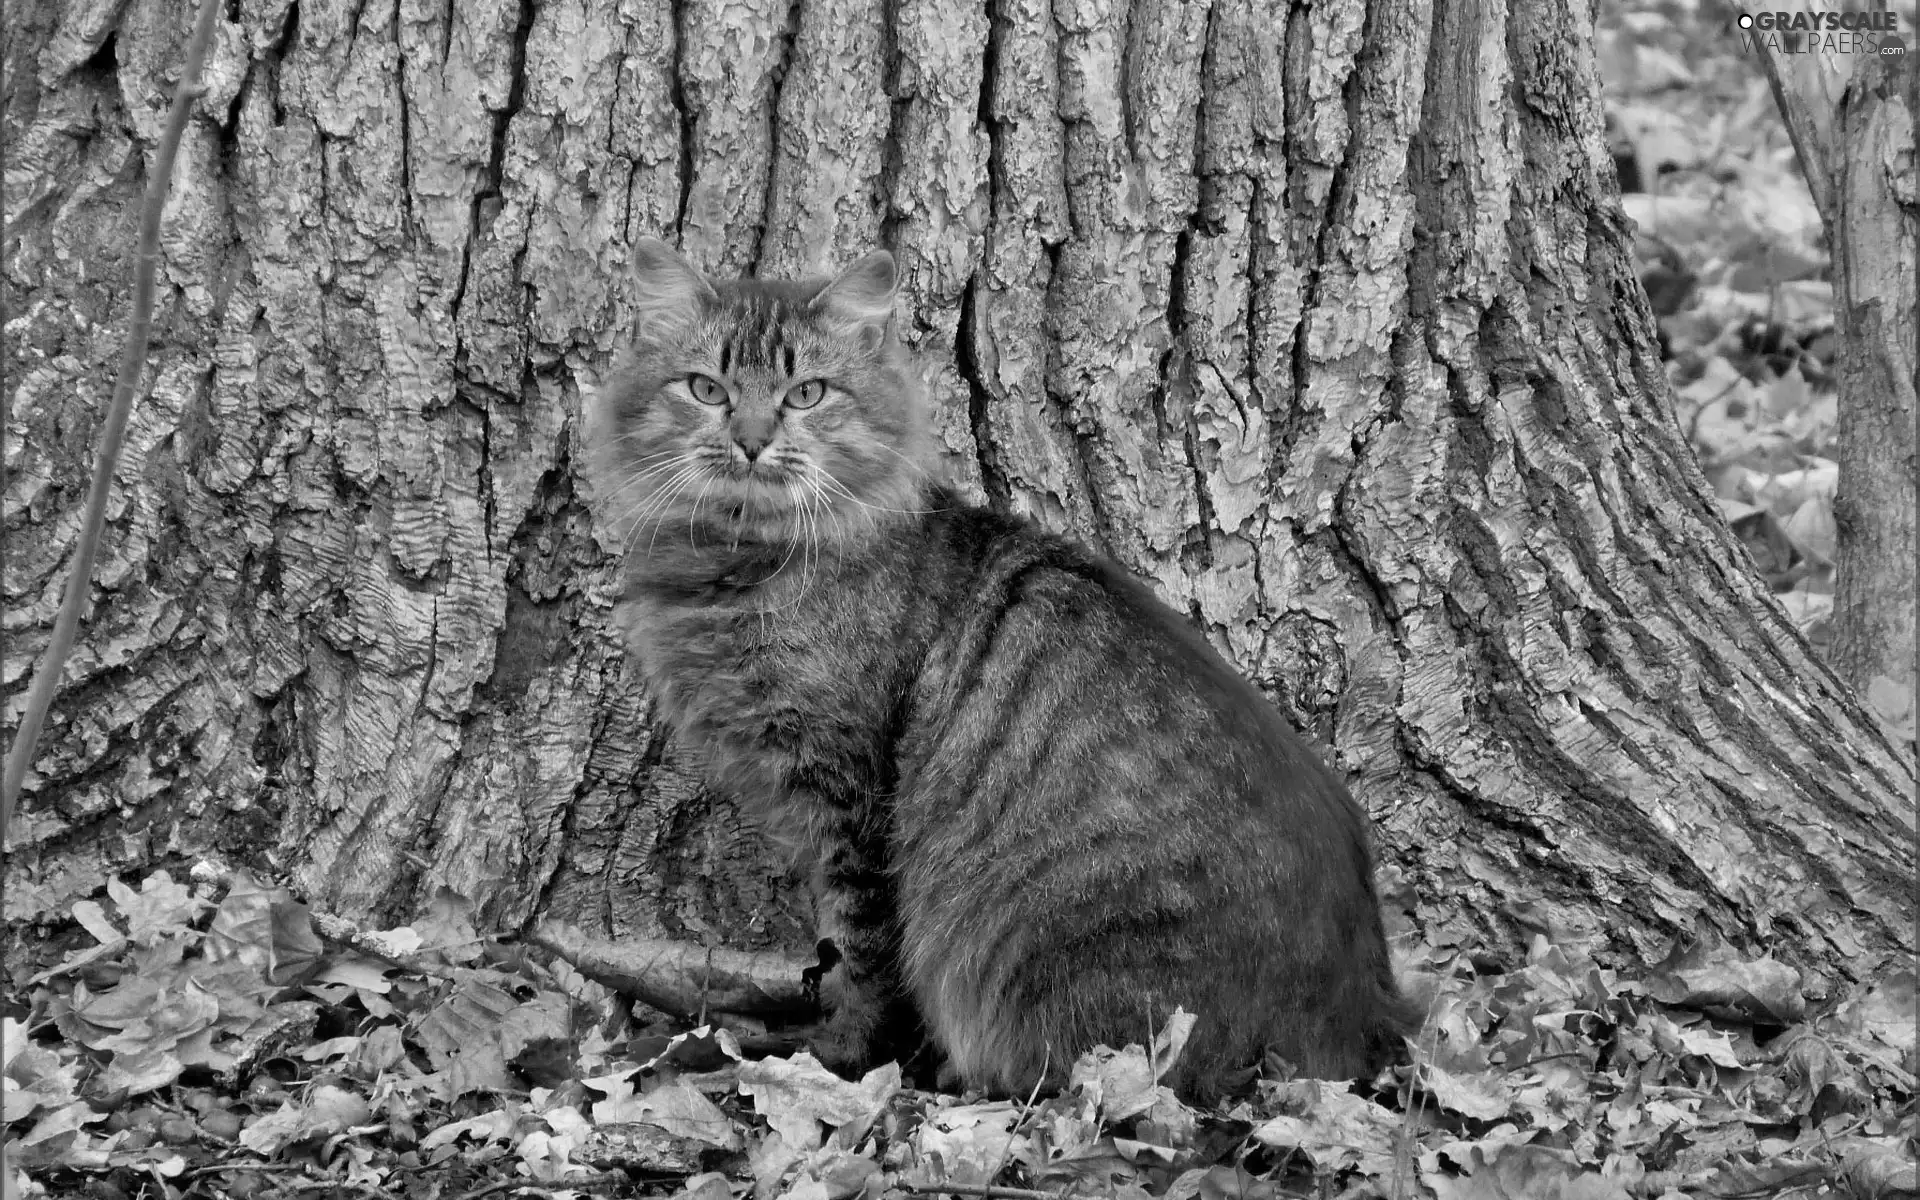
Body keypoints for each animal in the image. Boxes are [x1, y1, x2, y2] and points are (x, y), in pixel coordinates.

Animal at [579, 239, 1413, 1098]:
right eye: (706, 389)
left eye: (806, 394)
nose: (749, 439)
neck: (742, 561)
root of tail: (1363, 1023)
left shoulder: (852, 799)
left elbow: (861, 960)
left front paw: (836, 1058)